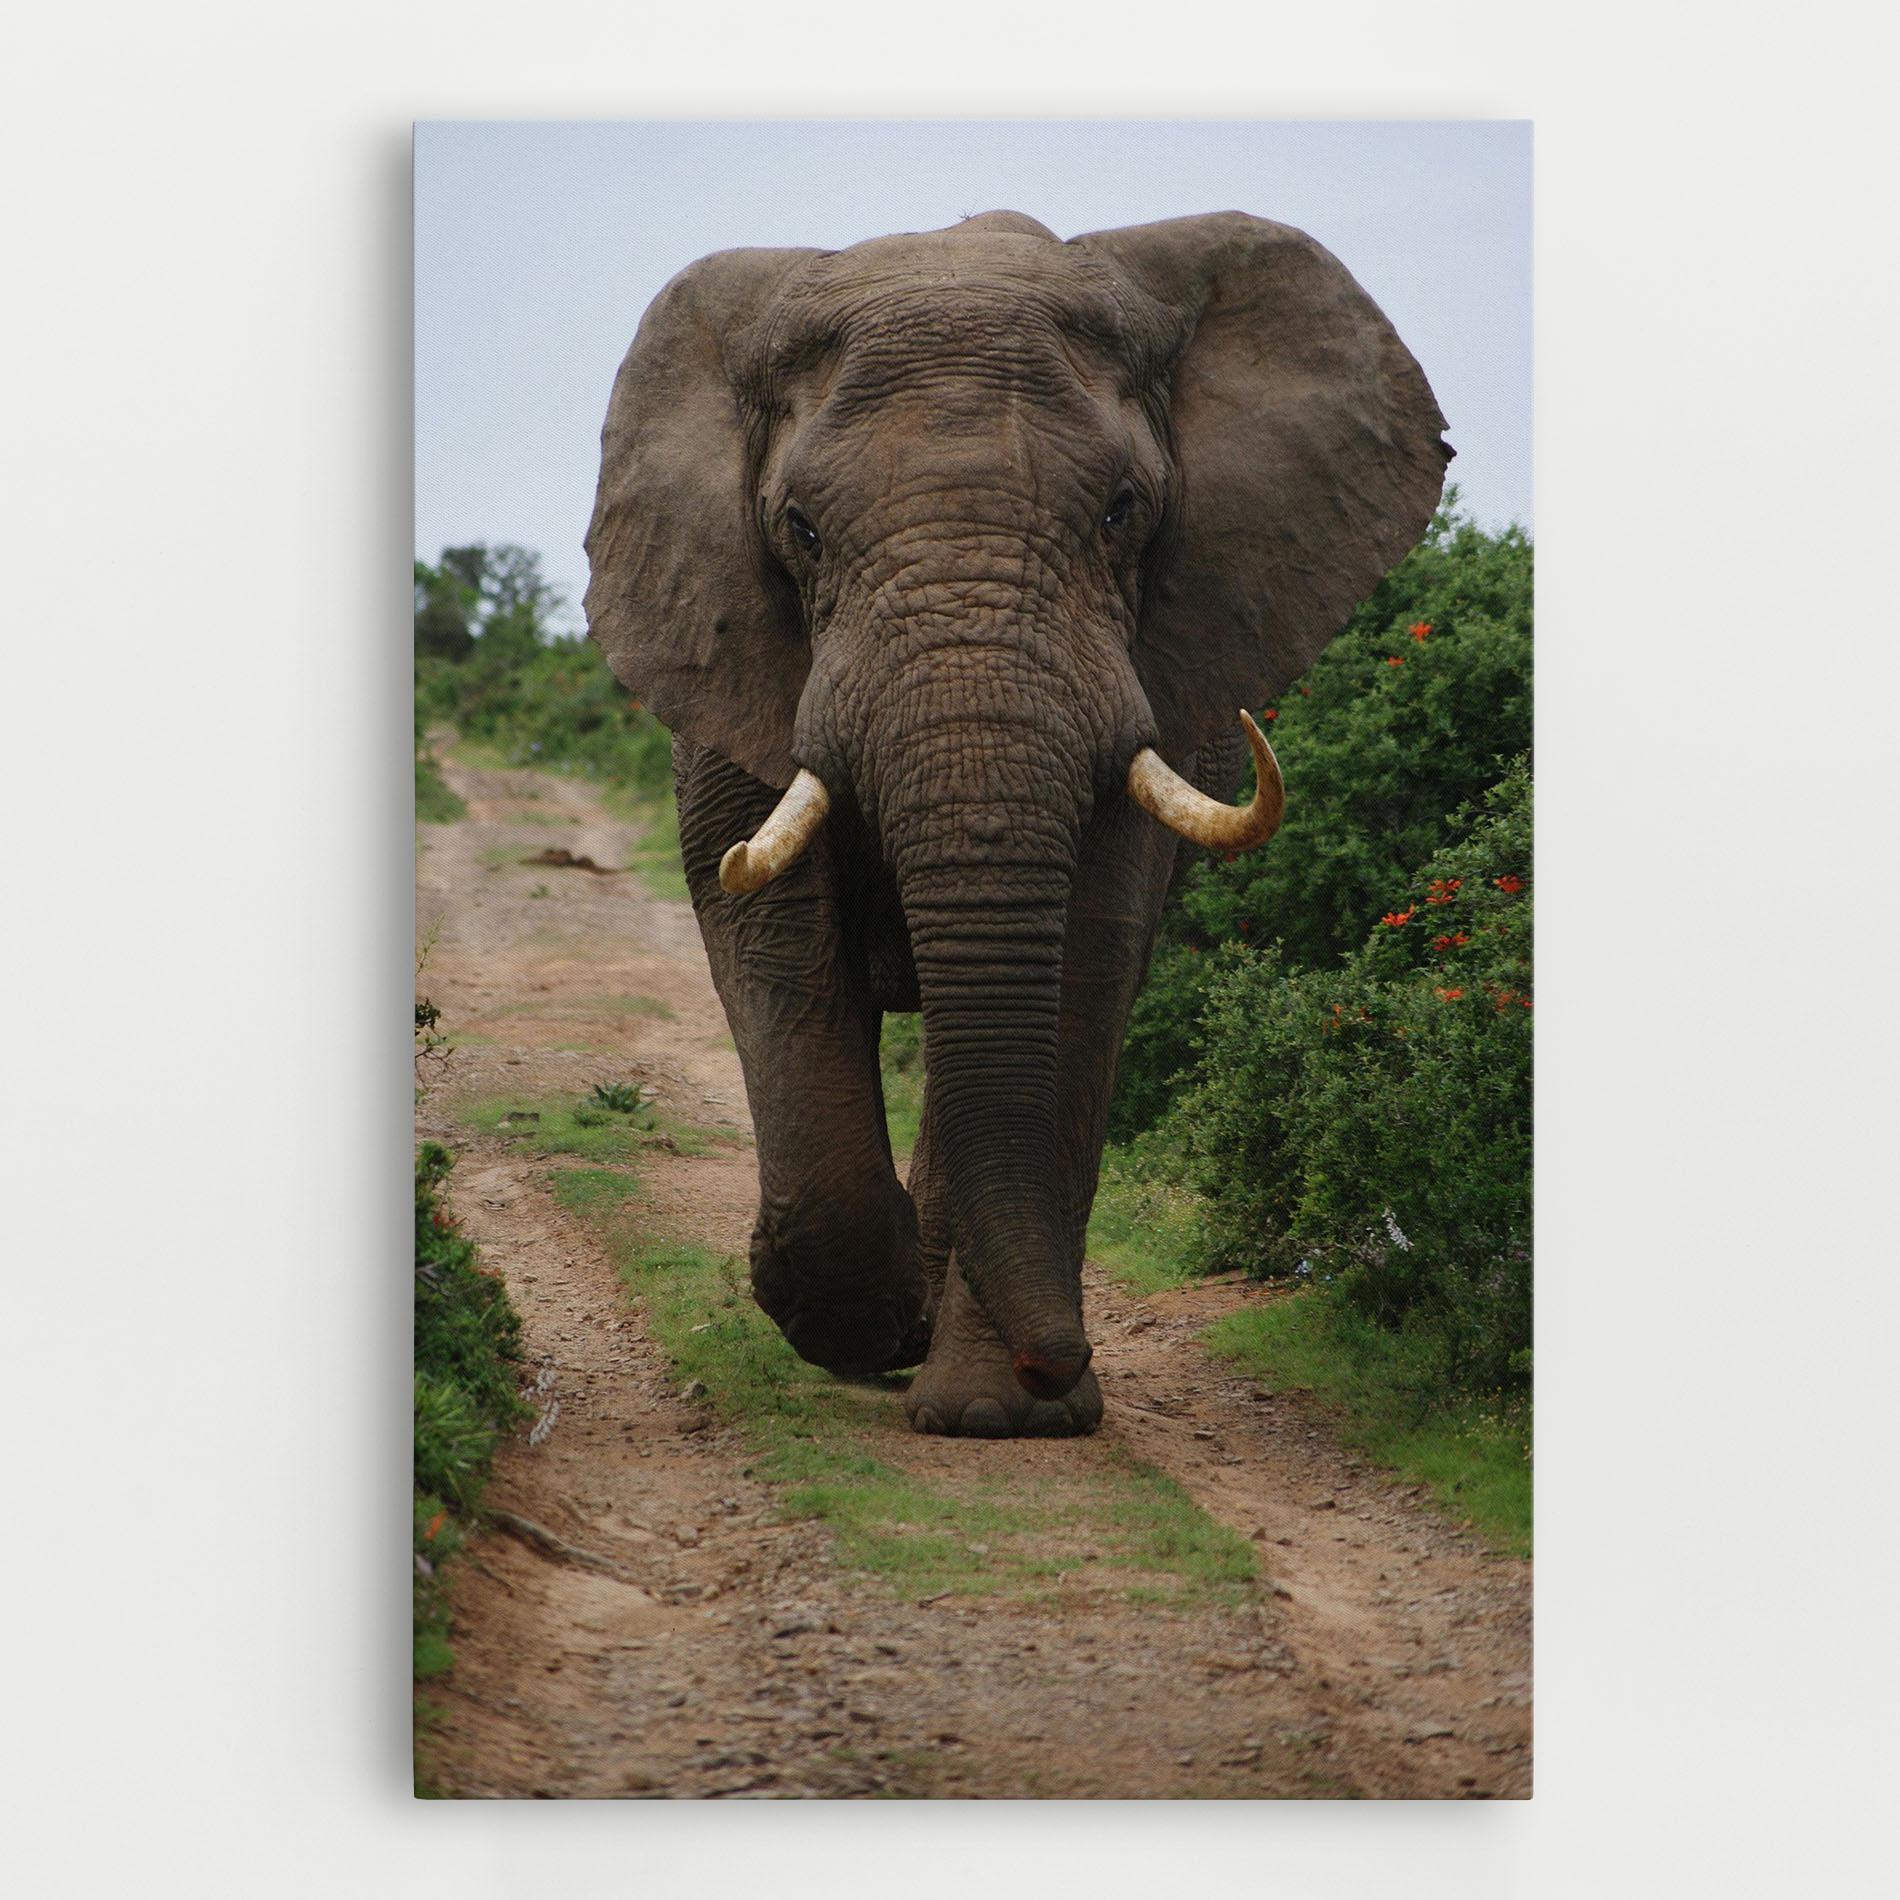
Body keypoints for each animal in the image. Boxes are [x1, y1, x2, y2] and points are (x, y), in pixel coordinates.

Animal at [584, 210, 1449, 1438]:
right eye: (799, 529)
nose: (1060, 1358)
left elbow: (1085, 957)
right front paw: (857, 1320)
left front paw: (1002, 1415)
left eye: (1123, 511)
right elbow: (769, 936)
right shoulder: (726, 655)